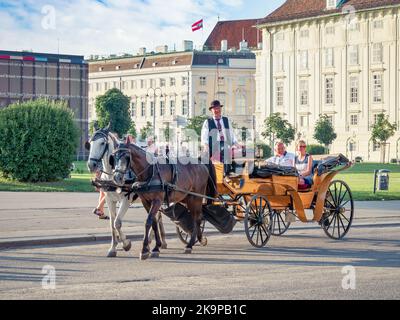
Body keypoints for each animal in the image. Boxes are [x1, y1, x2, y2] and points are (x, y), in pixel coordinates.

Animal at [86, 127, 168, 258]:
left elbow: (117, 222)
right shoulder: (110, 199)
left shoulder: (126, 200)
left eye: (102, 143)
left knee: (157, 217)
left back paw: (157, 242)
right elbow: (112, 224)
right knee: (157, 217)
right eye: (90, 142)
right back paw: (155, 241)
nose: (91, 165)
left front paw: (126, 244)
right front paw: (113, 247)